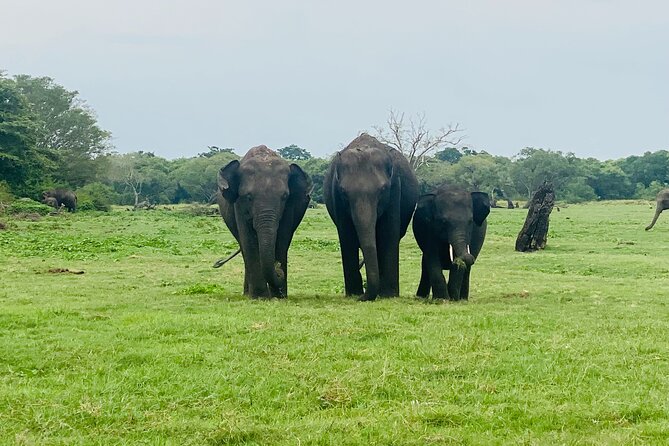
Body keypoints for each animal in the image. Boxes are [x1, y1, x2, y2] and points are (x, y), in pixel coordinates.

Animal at [216, 145, 312, 298]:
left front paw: (278, 296)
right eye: (248, 197)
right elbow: (249, 241)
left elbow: (282, 240)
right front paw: (260, 297)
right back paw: (248, 294)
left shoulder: (289, 208)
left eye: (284, 197)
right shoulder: (239, 205)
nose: (278, 268)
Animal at [324, 133, 419, 301]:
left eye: (383, 190)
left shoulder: (395, 187)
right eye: (343, 192)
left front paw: (388, 295)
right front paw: (354, 293)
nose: (361, 296)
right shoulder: (336, 195)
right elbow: (346, 235)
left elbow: (388, 233)